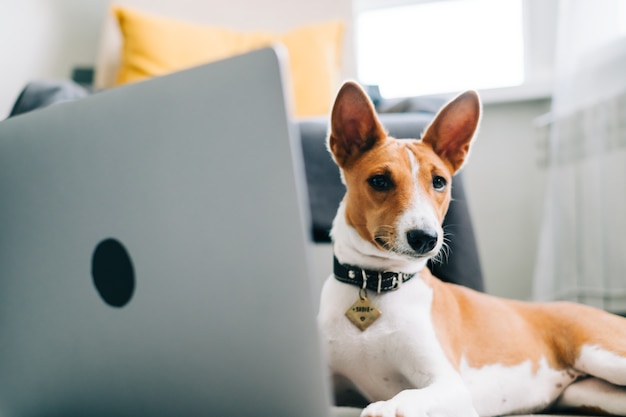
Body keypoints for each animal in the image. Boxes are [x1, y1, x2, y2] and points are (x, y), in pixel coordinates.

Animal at [316, 81, 624, 416]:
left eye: (439, 182)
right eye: (380, 181)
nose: (425, 237)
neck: (373, 283)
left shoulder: (450, 385)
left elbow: (406, 397)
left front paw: (384, 407)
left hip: (605, 357)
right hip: (593, 393)